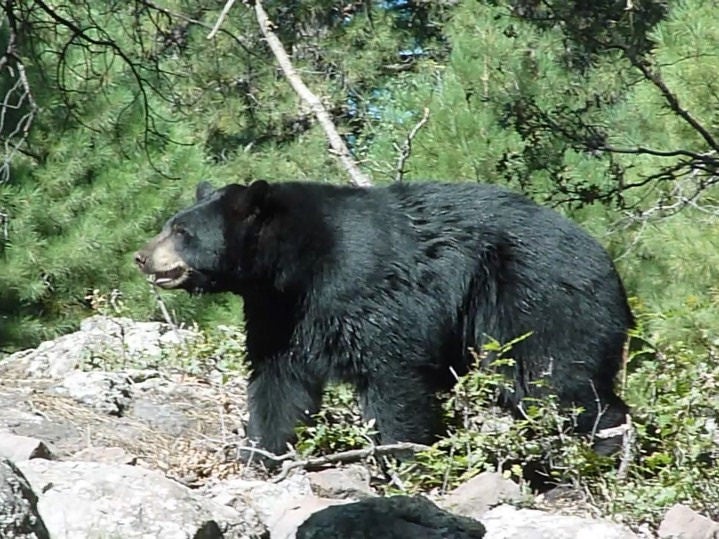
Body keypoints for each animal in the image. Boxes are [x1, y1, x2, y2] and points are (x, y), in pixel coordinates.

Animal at [134, 180, 632, 457]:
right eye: (170, 225)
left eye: (181, 231)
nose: (141, 256)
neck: (297, 266)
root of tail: (607, 260)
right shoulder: (279, 312)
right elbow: (277, 379)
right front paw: (261, 452)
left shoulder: (367, 284)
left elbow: (392, 372)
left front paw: (400, 458)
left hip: (539, 299)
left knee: (556, 380)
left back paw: (604, 447)